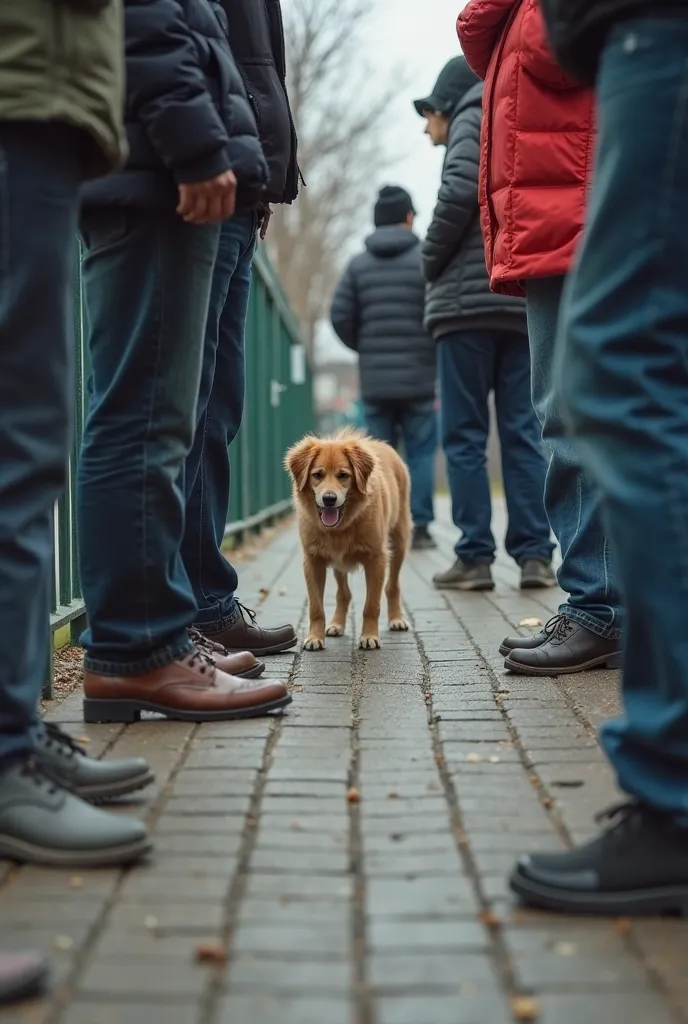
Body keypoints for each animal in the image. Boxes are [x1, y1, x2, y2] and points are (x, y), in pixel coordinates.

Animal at [282, 428, 409, 651]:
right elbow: (316, 607)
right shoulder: (313, 561)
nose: (329, 499)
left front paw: (369, 636)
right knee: (344, 594)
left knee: (392, 586)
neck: (340, 528)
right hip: (338, 564)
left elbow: (371, 605)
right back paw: (336, 624)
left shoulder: (377, 559)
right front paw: (315, 637)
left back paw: (396, 619)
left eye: (343, 475)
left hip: (399, 543)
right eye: (317, 475)